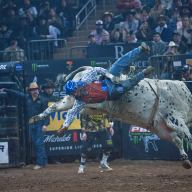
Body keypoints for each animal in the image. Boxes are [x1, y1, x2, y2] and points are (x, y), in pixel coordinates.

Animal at [30, 67, 192, 169]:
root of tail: (85, 71)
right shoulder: (176, 119)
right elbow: (187, 136)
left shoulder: (161, 128)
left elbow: (177, 140)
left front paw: (185, 160)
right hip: (83, 101)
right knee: (65, 109)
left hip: (72, 100)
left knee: (55, 106)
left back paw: (37, 117)